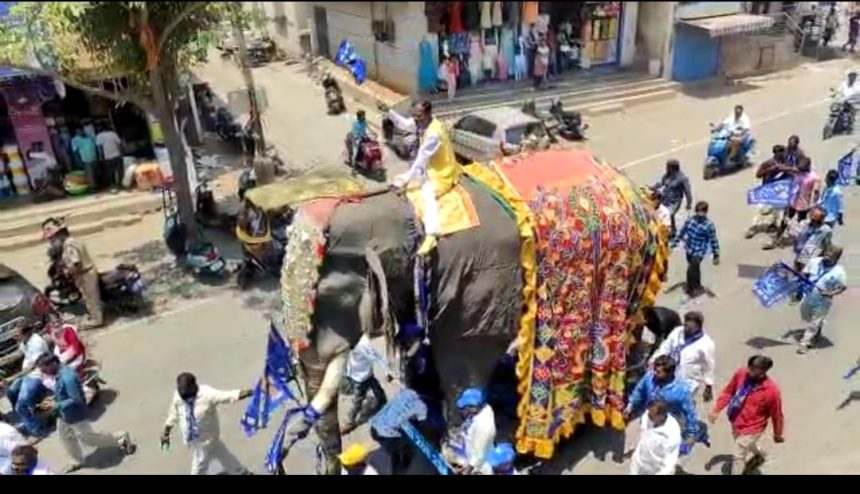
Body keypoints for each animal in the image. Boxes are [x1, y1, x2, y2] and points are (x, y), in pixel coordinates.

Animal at [278, 148, 668, 474]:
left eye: (330, 296)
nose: (325, 463)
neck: (408, 212)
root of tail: (633, 187)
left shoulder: (480, 288)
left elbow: (464, 358)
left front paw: (456, 458)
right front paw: (422, 413)